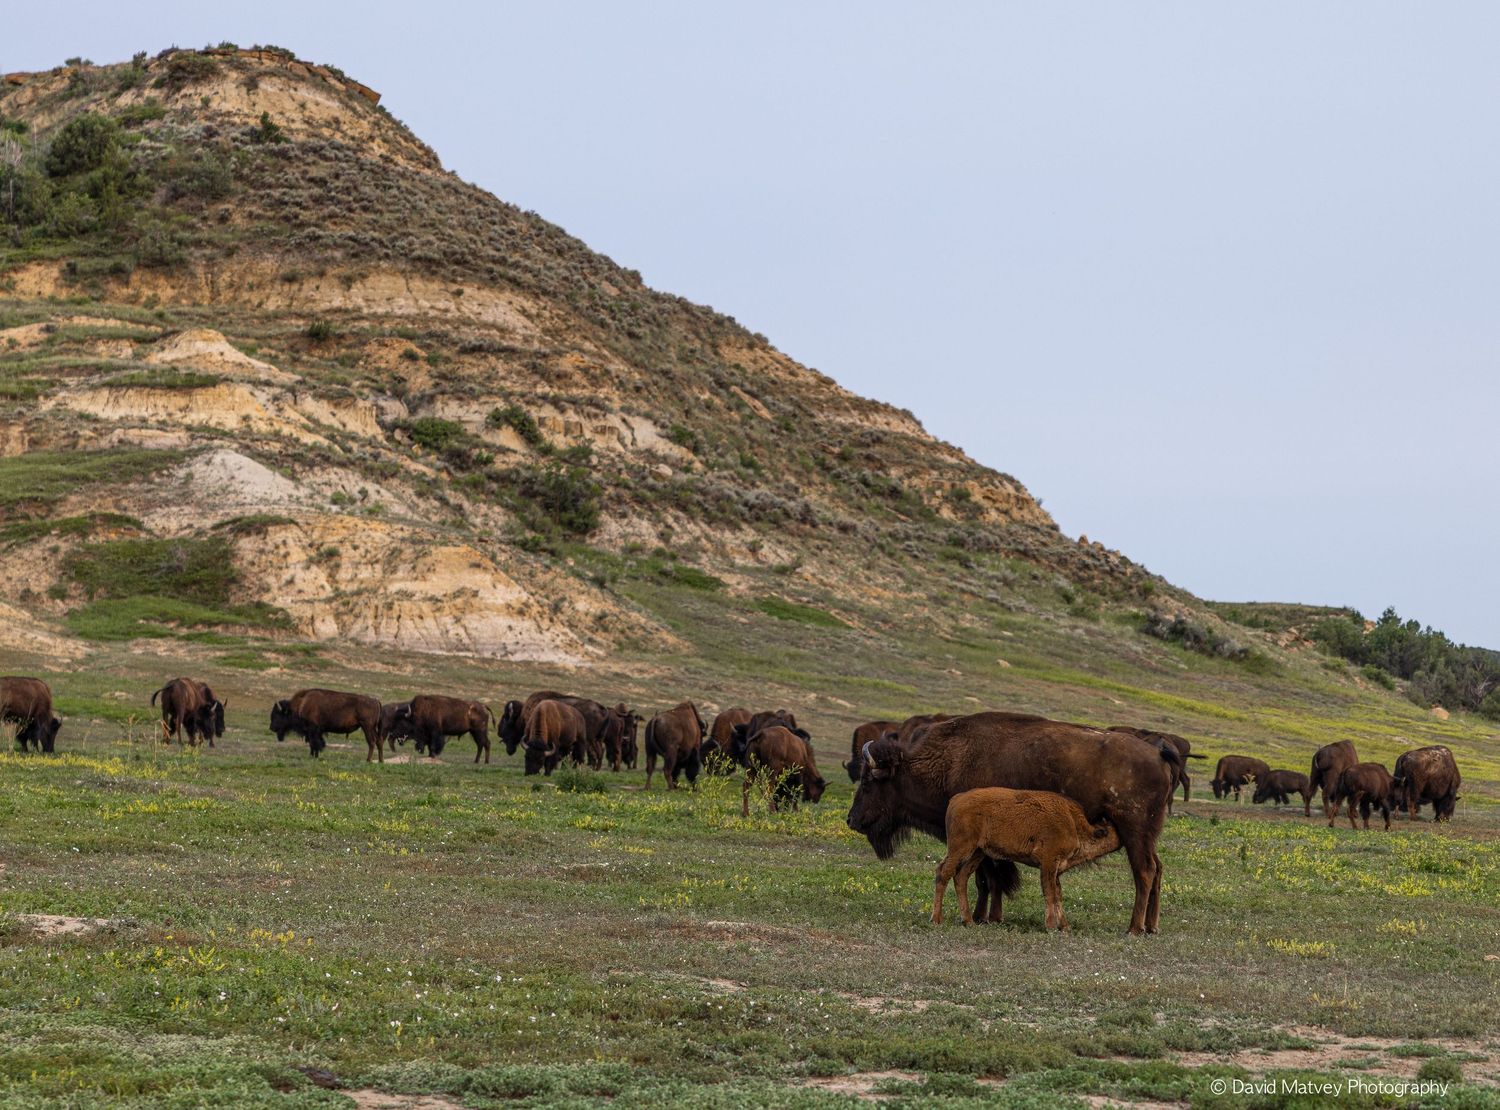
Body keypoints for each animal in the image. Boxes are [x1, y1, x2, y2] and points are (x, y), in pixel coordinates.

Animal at [848, 711, 1178, 934]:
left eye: (868, 782)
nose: (852, 819)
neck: (951, 760)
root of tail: (1158, 754)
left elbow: (988, 878)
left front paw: (986, 916)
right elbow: (986, 878)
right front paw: (985, 916)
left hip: (1134, 830)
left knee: (1144, 871)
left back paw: (1134, 928)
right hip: (1147, 835)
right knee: (1158, 868)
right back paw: (1152, 926)